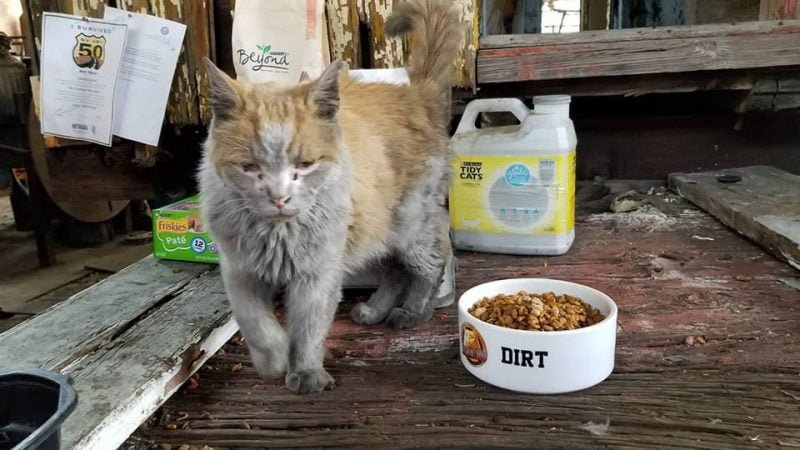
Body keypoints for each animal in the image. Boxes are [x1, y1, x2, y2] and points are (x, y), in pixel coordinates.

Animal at [198, 0, 462, 394]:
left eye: (305, 164)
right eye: (249, 167)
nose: (278, 196)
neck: (278, 234)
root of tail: (415, 92)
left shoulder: (318, 272)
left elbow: (309, 325)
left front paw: (306, 371)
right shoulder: (239, 269)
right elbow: (254, 322)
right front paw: (273, 357)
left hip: (408, 225)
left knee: (430, 262)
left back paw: (413, 311)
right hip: (372, 231)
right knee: (394, 270)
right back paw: (374, 310)